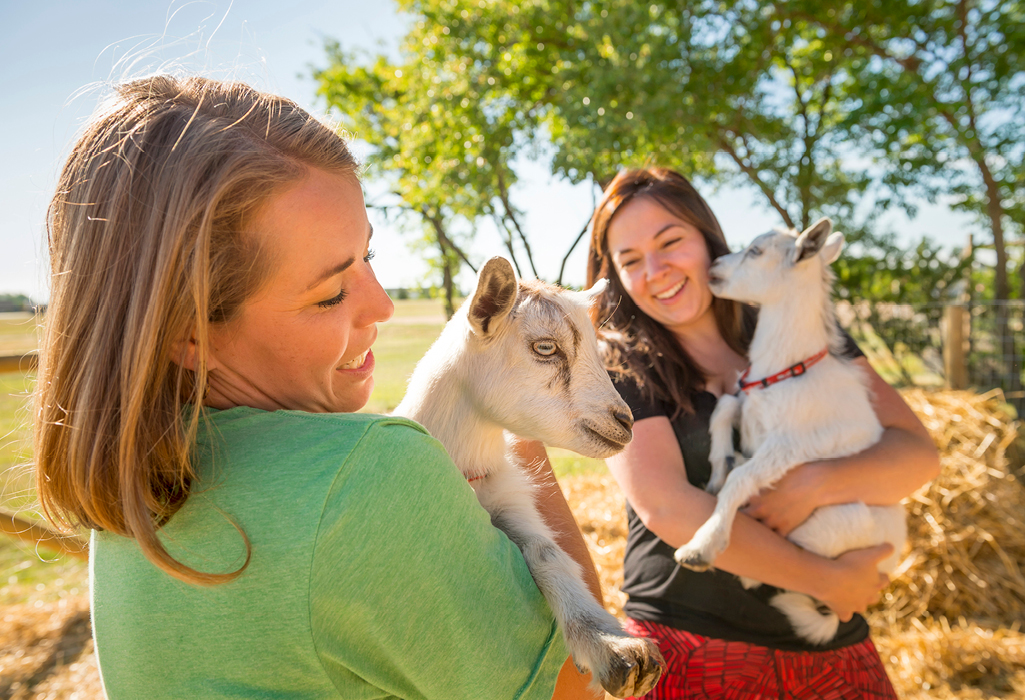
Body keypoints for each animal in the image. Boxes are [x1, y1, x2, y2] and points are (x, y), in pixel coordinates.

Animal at [395, 257, 665, 698]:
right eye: (546, 347)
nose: (625, 422)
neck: (470, 472)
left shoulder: (511, 504)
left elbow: (546, 551)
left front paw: (612, 645)